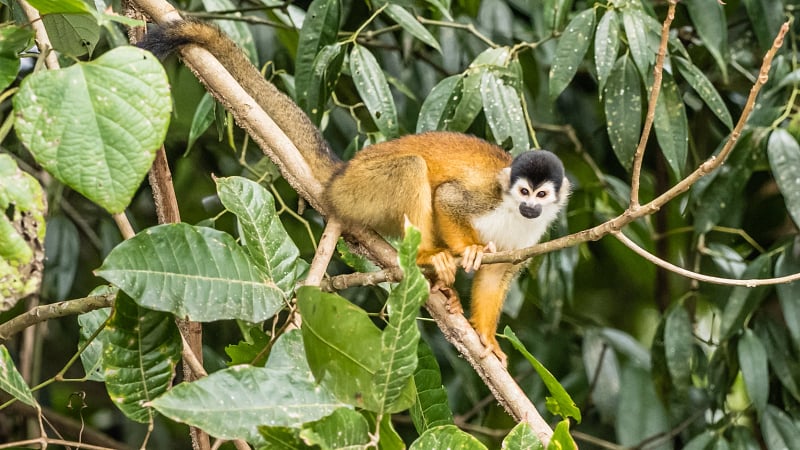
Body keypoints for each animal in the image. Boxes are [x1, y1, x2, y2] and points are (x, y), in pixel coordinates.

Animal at [139, 19, 570, 365]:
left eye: (541, 196)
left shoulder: (531, 237)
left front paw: (485, 336)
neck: (512, 211)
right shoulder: (489, 196)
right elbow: (448, 198)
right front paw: (468, 250)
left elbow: (496, 277)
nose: (530, 207)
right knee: (412, 169)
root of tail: (341, 174)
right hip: (362, 188)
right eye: (523, 191)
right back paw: (430, 258)